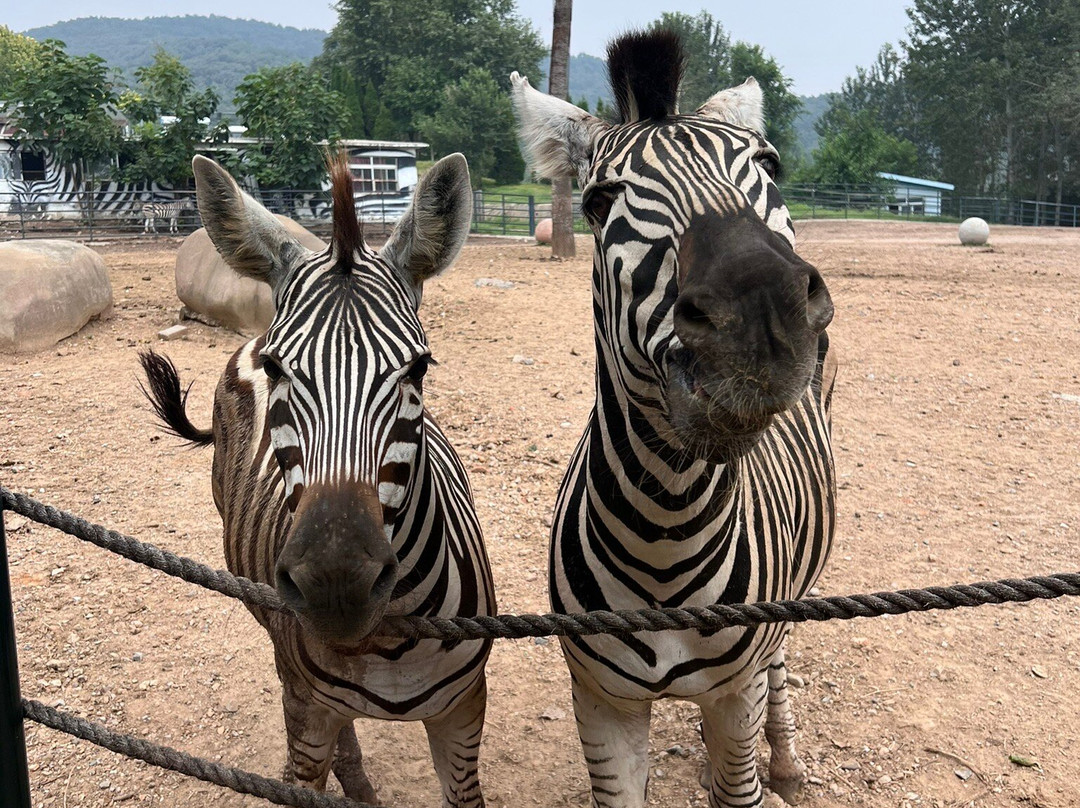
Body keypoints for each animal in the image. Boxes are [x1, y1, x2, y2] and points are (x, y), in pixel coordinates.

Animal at [140, 153, 496, 808]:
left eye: (419, 368)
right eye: (277, 368)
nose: (336, 584)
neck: (386, 643)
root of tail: (248, 333)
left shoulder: (463, 710)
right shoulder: (306, 712)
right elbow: (309, 767)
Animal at [509, 28, 838, 803]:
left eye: (770, 166)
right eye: (599, 202)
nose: (762, 318)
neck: (667, 534)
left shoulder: (735, 693)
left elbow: (738, 779)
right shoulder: (601, 700)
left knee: (781, 659)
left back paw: (787, 760)